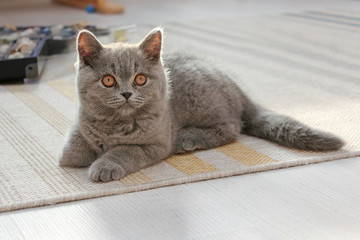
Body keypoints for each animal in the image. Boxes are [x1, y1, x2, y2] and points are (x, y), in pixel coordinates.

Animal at [59, 27, 344, 182]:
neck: (115, 124)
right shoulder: (82, 121)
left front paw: (104, 165)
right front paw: (76, 154)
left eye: (140, 79)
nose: (127, 94)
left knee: (232, 127)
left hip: (202, 101)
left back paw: (188, 139)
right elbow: (70, 152)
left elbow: (124, 151)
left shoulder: (154, 143)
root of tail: (237, 87)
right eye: (108, 80)